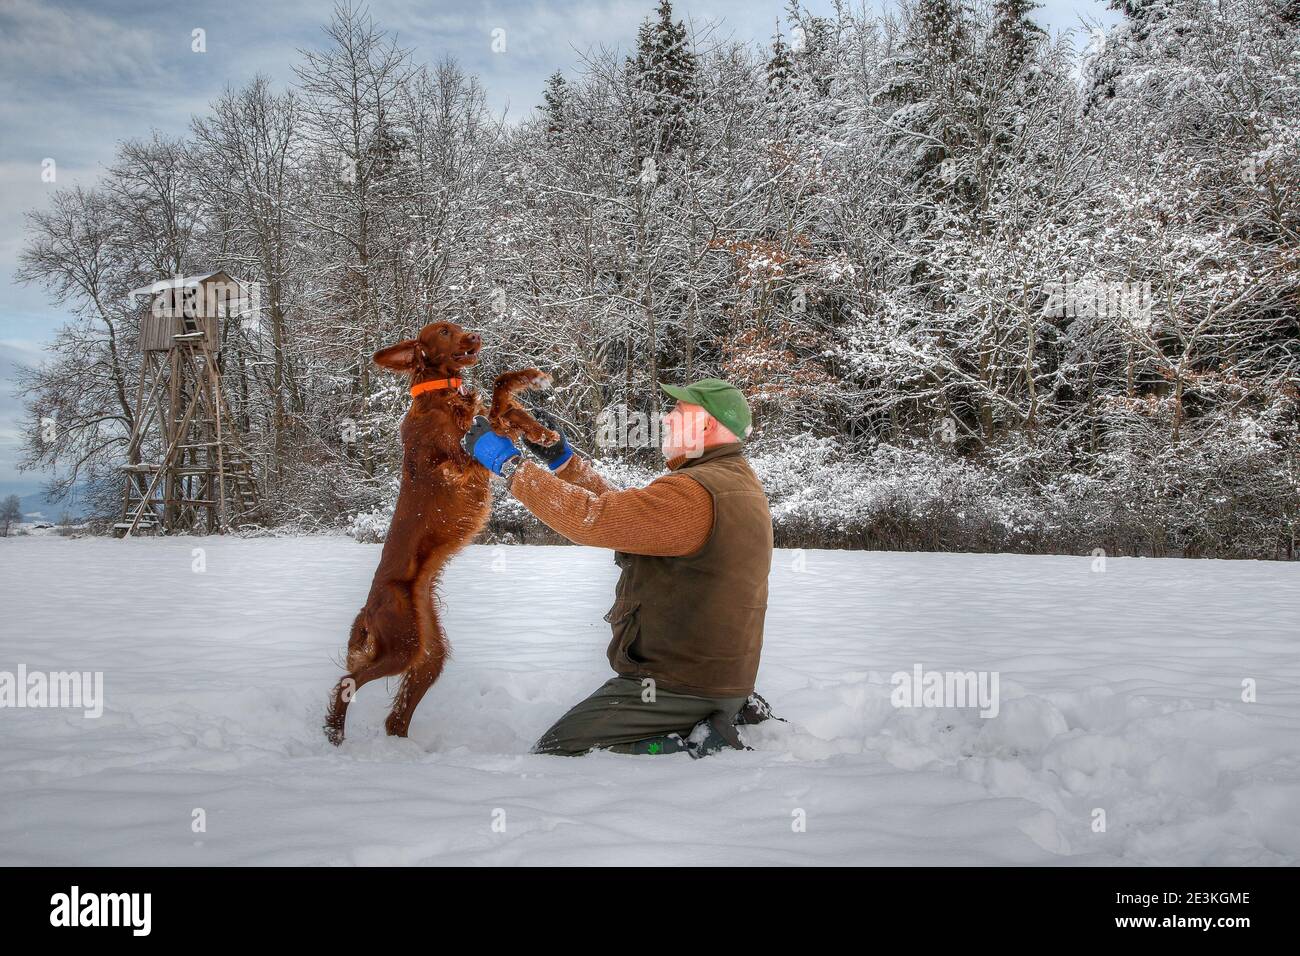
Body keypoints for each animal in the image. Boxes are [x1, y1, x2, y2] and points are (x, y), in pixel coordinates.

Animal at [323, 321, 553, 749]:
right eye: (445, 332)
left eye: (458, 326)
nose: (474, 337)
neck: (440, 394)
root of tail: (368, 607)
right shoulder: (460, 461)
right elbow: (496, 403)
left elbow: (502, 401)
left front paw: (540, 425)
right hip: (402, 644)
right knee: (348, 679)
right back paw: (334, 732)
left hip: (429, 653)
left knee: (396, 716)